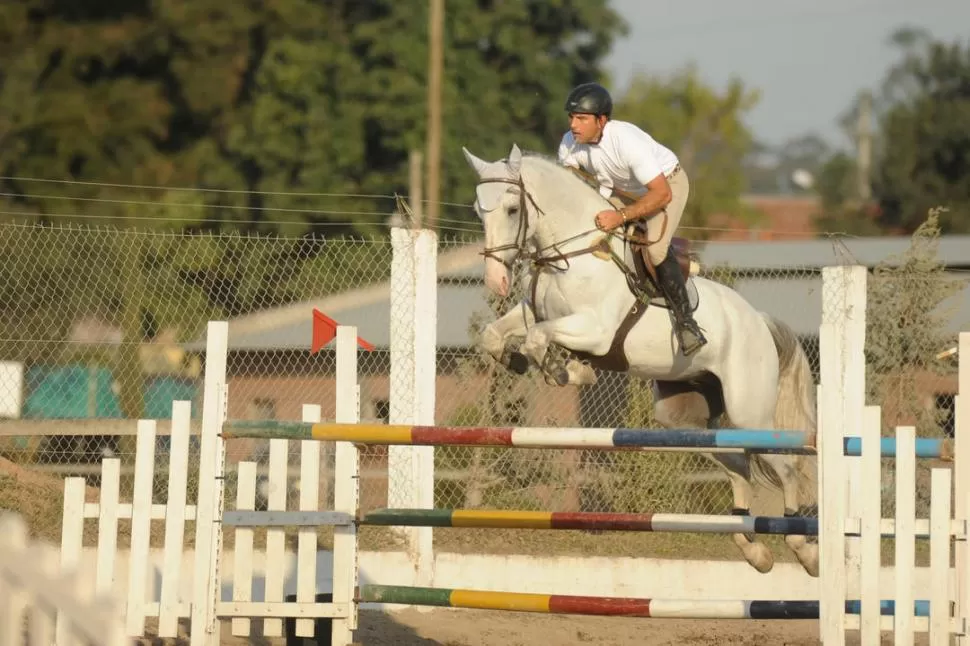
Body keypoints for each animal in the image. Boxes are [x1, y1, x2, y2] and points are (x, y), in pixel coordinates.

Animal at [462, 146, 816, 576]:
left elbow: (537, 338)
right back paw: (754, 550)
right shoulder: (534, 311)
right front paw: (521, 362)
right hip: (685, 419)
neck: (573, 254)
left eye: (513, 209)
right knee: (736, 463)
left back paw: (803, 549)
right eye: (478, 210)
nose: (495, 281)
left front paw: (565, 370)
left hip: (749, 412)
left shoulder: (594, 329)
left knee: (784, 465)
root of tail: (758, 321)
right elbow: (496, 334)